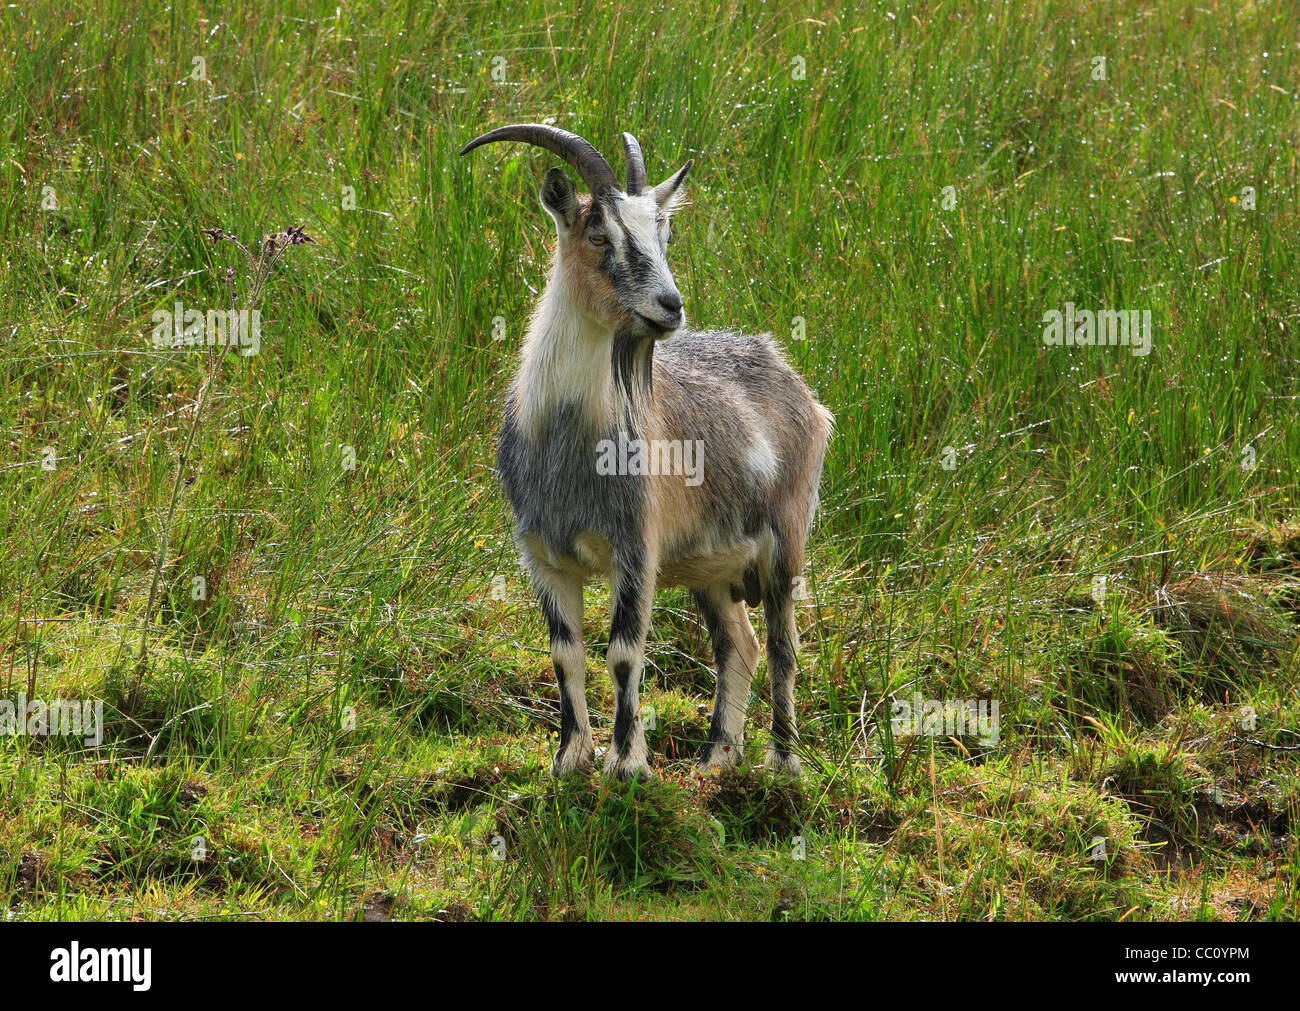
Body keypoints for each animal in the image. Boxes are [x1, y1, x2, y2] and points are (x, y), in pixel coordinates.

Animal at [461, 124, 832, 782]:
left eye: (665, 235)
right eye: (598, 233)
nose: (670, 305)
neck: (570, 441)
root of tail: (797, 386)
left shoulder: (636, 549)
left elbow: (624, 653)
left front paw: (627, 764)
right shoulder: (544, 557)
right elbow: (565, 654)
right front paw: (569, 759)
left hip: (785, 538)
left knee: (782, 645)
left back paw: (784, 761)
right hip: (712, 565)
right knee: (738, 643)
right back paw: (716, 756)